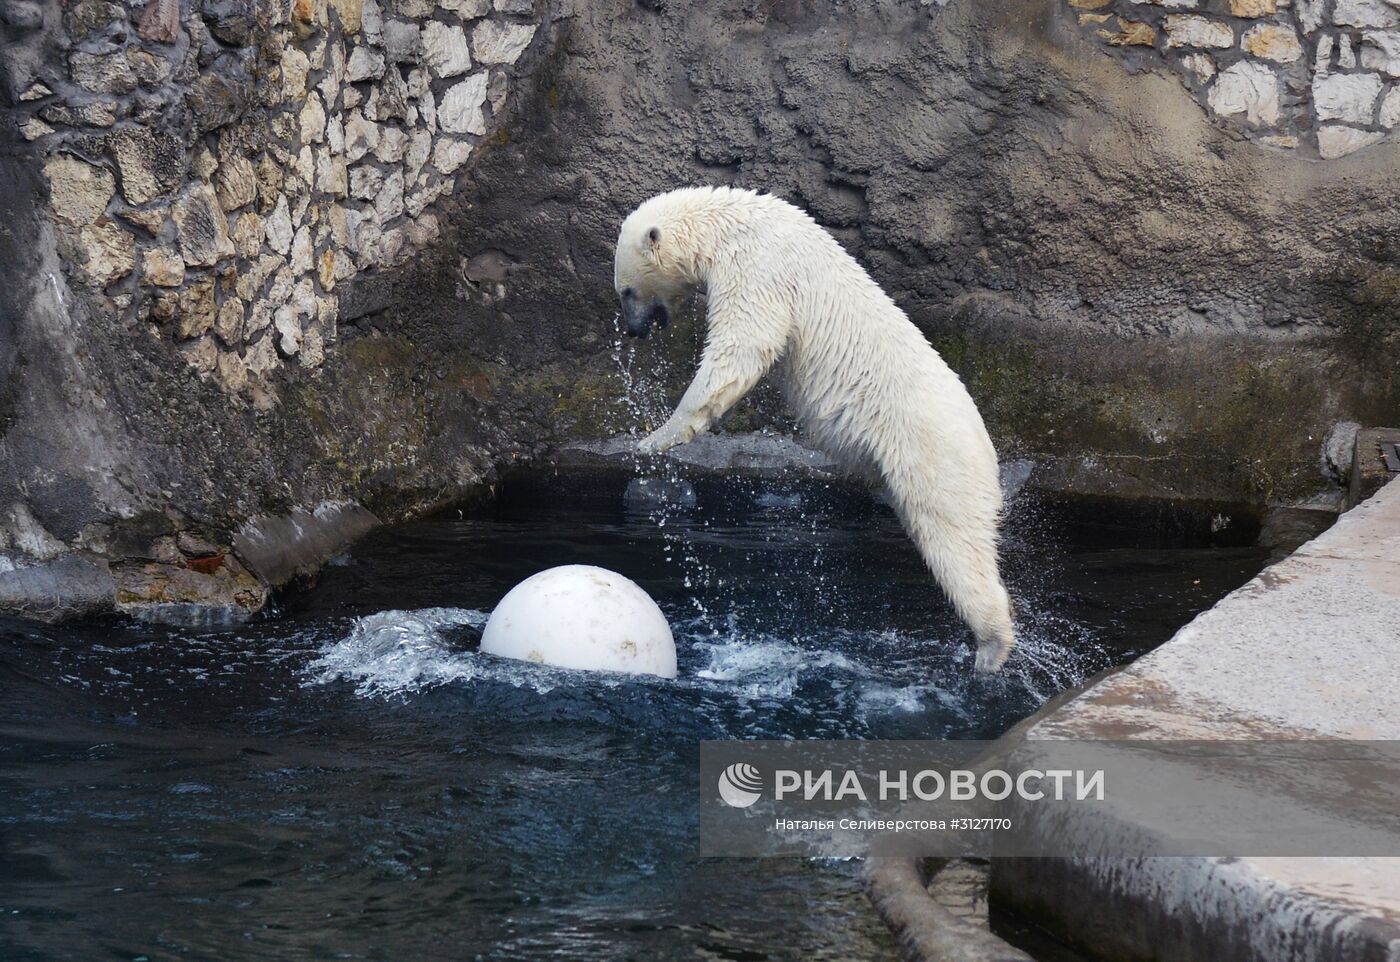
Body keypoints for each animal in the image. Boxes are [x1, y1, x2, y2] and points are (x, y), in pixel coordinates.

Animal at [618, 186, 1013, 669]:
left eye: (627, 290)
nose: (633, 330)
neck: (727, 224)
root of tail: (987, 449)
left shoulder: (758, 268)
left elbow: (742, 346)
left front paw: (655, 438)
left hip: (932, 455)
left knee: (954, 541)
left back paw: (991, 647)